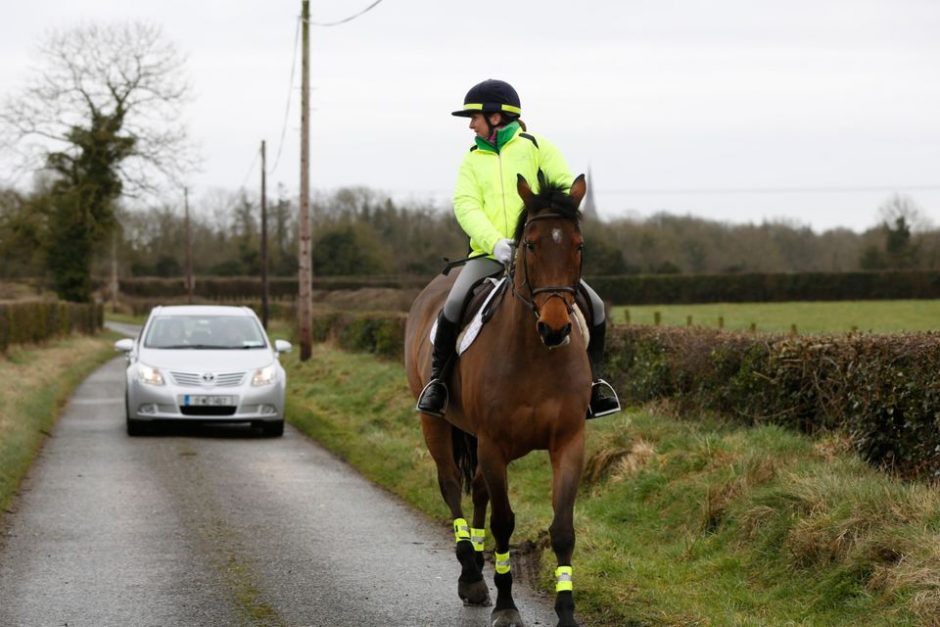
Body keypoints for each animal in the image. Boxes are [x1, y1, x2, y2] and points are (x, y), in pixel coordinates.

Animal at [406, 173, 596, 627]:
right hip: (436, 423)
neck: (535, 356)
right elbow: (505, 522)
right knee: (451, 485)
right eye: (531, 244)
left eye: (578, 245)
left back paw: (476, 562)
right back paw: (472, 576)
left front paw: (566, 611)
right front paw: (507, 604)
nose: (555, 328)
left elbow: (562, 529)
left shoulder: (569, 443)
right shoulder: (494, 445)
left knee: (476, 491)